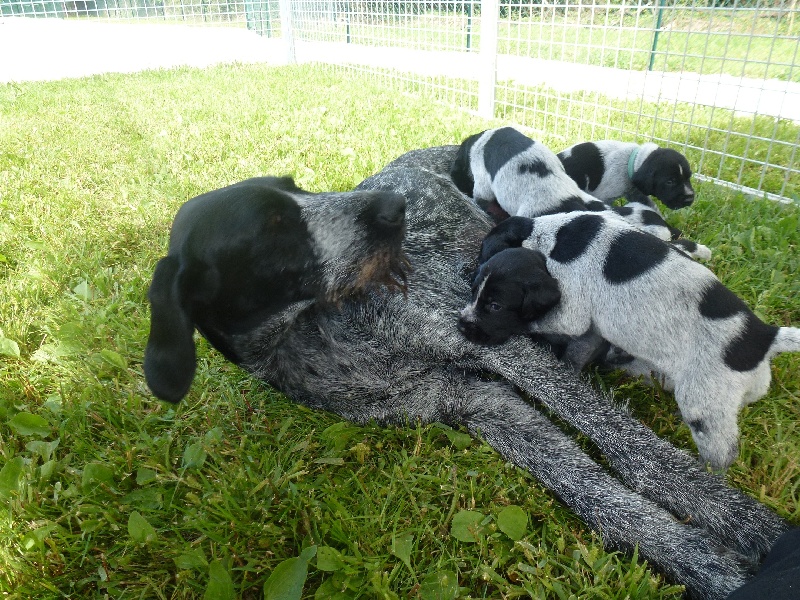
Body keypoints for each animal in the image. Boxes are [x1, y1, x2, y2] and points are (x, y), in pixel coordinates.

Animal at [456, 213, 800, 472]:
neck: (547, 235)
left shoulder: (571, 309)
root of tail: (764, 336)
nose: (462, 325)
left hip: (703, 406)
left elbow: (546, 325)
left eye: (495, 306)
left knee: (722, 452)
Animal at [556, 140, 692, 210]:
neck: (633, 159)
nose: (689, 198)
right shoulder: (605, 197)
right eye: (670, 182)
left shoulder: (635, 192)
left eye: (689, 177)